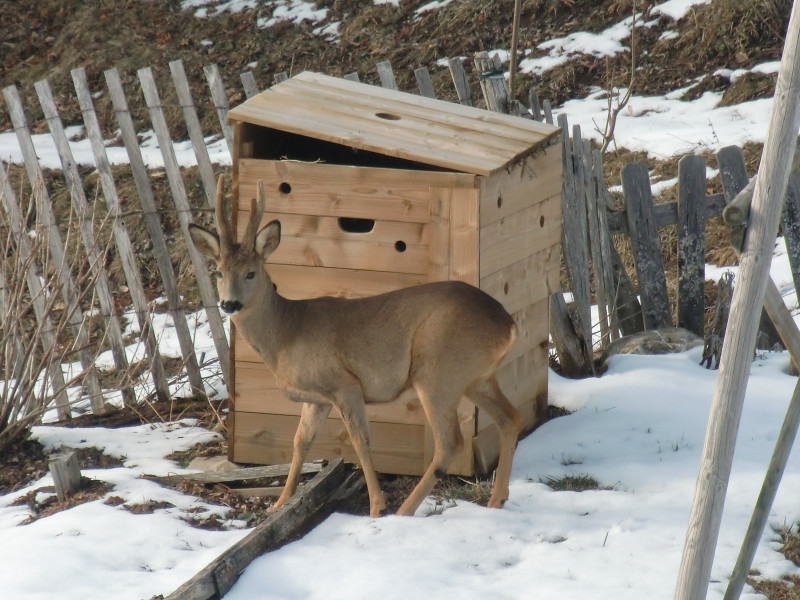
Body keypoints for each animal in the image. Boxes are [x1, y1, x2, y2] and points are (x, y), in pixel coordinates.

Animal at [190, 176, 520, 516]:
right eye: (218, 272)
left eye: (251, 273)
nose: (229, 303)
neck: (285, 333)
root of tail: (507, 324)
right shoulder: (317, 398)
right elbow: (300, 441)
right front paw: (279, 504)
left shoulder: (344, 384)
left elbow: (359, 440)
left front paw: (376, 505)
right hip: (476, 378)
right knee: (511, 418)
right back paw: (497, 499)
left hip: (437, 372)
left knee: (450, 441)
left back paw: (404, 510)